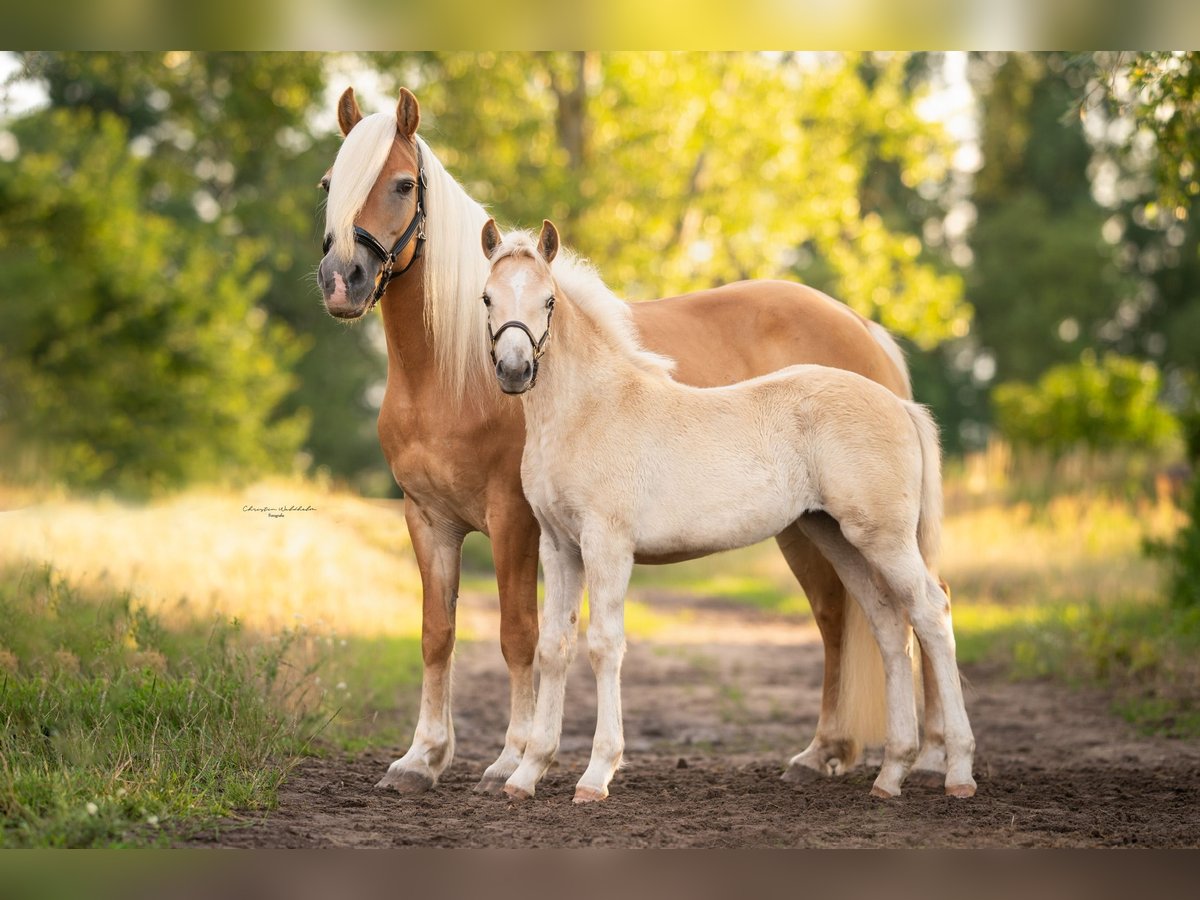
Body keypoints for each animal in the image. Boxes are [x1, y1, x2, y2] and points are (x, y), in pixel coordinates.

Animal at [477, 218, 974, 801]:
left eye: (549, 300)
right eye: (487, 297)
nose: (514, 370)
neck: (590, 410)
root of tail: (900, 405)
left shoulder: (607, 544)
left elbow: (604, 645)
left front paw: (596, 774)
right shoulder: (559, 546)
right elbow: (555, 647)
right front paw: (526, 775)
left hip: (884, 538)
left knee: (931, 612)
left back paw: (958, 771)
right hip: (839, 536)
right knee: (889, 624)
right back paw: (891, 773)